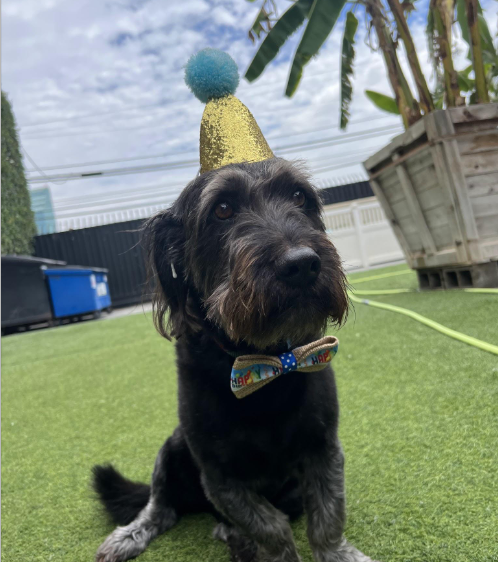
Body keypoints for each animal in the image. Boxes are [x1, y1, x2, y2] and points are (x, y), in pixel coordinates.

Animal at [91, 158, 376, 560]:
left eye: (299, 196)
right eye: (222, 209)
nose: (303, 265)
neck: (266, 361)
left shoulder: (324, 448)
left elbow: (328, 516)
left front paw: (336, 553)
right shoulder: (219, 476)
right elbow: (271, 527)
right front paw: (278, 552)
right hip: (172, 448)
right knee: (162, 506)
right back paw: (133, 534)